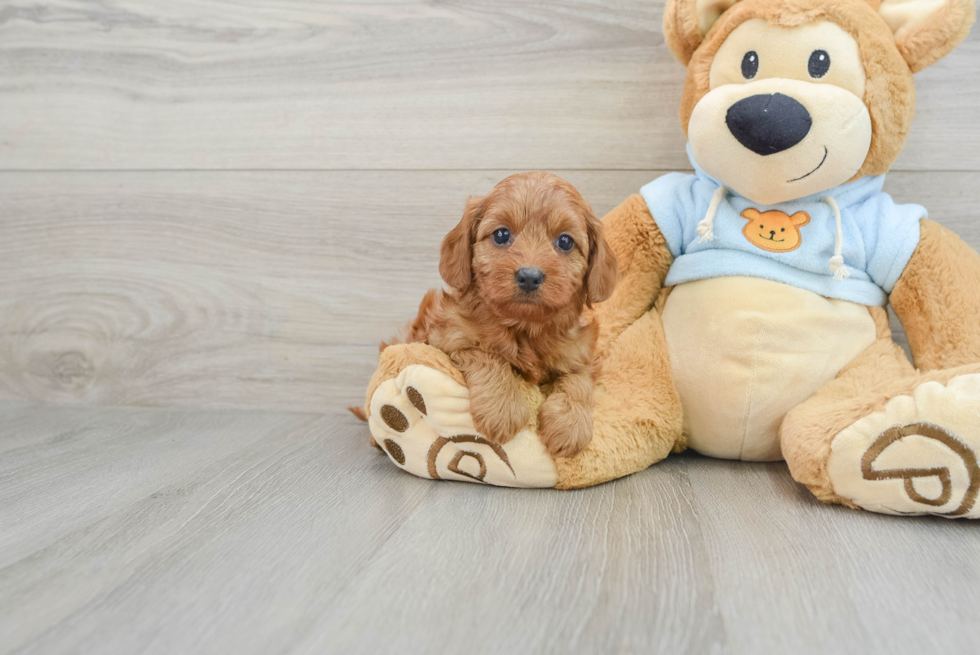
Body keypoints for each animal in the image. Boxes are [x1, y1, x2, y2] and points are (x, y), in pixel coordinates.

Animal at [402, 174, 616, 462]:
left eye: (565, 242)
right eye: (501, 235)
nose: (529, 276)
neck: (525, 327)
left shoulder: (582, 354)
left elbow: (578, 380)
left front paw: (571, 425)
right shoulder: (447, 337)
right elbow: (487, 354)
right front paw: (502, 409)